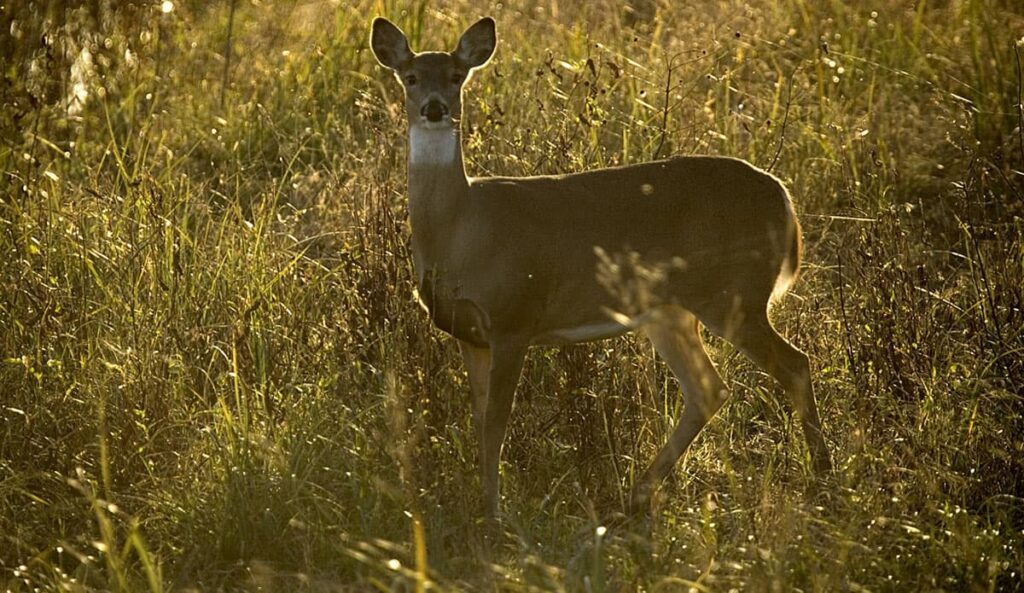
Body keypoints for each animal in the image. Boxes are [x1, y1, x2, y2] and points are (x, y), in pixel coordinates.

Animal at [368, 12, 831, 514]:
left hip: (734, 293)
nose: (434, 108)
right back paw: (635, 495)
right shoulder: (469, 333)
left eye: (456, 76)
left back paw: (824, 478)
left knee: (793, 365)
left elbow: (496, 423)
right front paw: (482, 502)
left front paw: (495, 513)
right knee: (708, 389)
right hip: (671, 311)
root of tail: (782, 196)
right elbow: (478, 419)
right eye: (411, 77)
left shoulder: (515, 317)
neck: (459, 229)